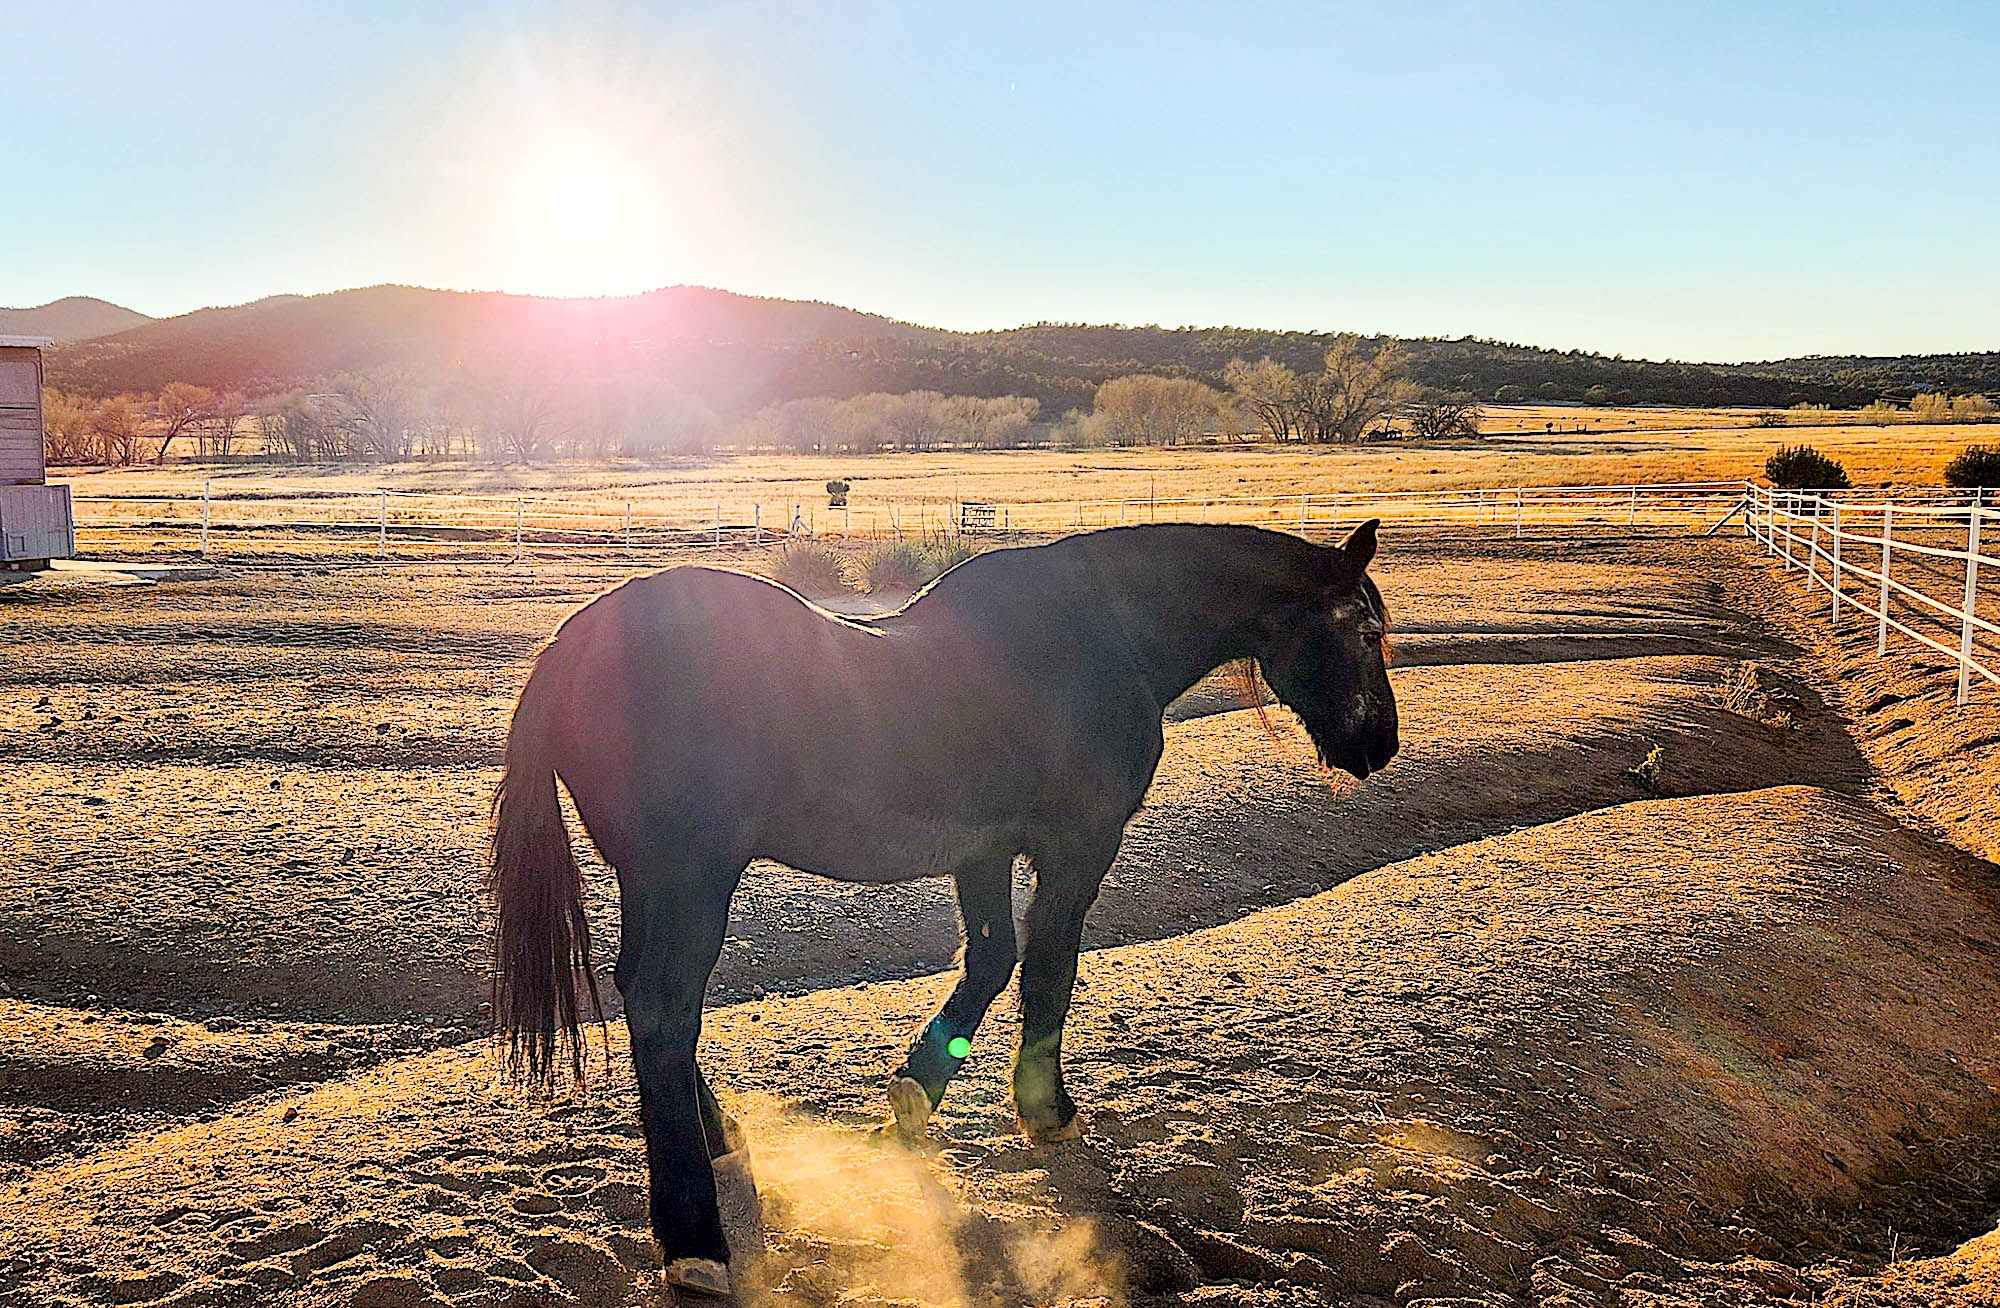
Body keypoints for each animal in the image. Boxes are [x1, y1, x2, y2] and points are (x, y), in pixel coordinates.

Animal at [488, 520, 1398, 1297]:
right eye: (1366, 633)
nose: (1381, 746)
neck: (1105, 637)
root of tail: (572, 645)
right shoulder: (1078, 846)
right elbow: (1050, 970)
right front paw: (1045, 1110)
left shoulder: (983, 851)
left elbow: (992, 960)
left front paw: (914, 1093)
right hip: (690, 881)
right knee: (663, 1009)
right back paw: (694, 1241)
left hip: (655, 884)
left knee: (642, 999)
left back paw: (720, 1139)